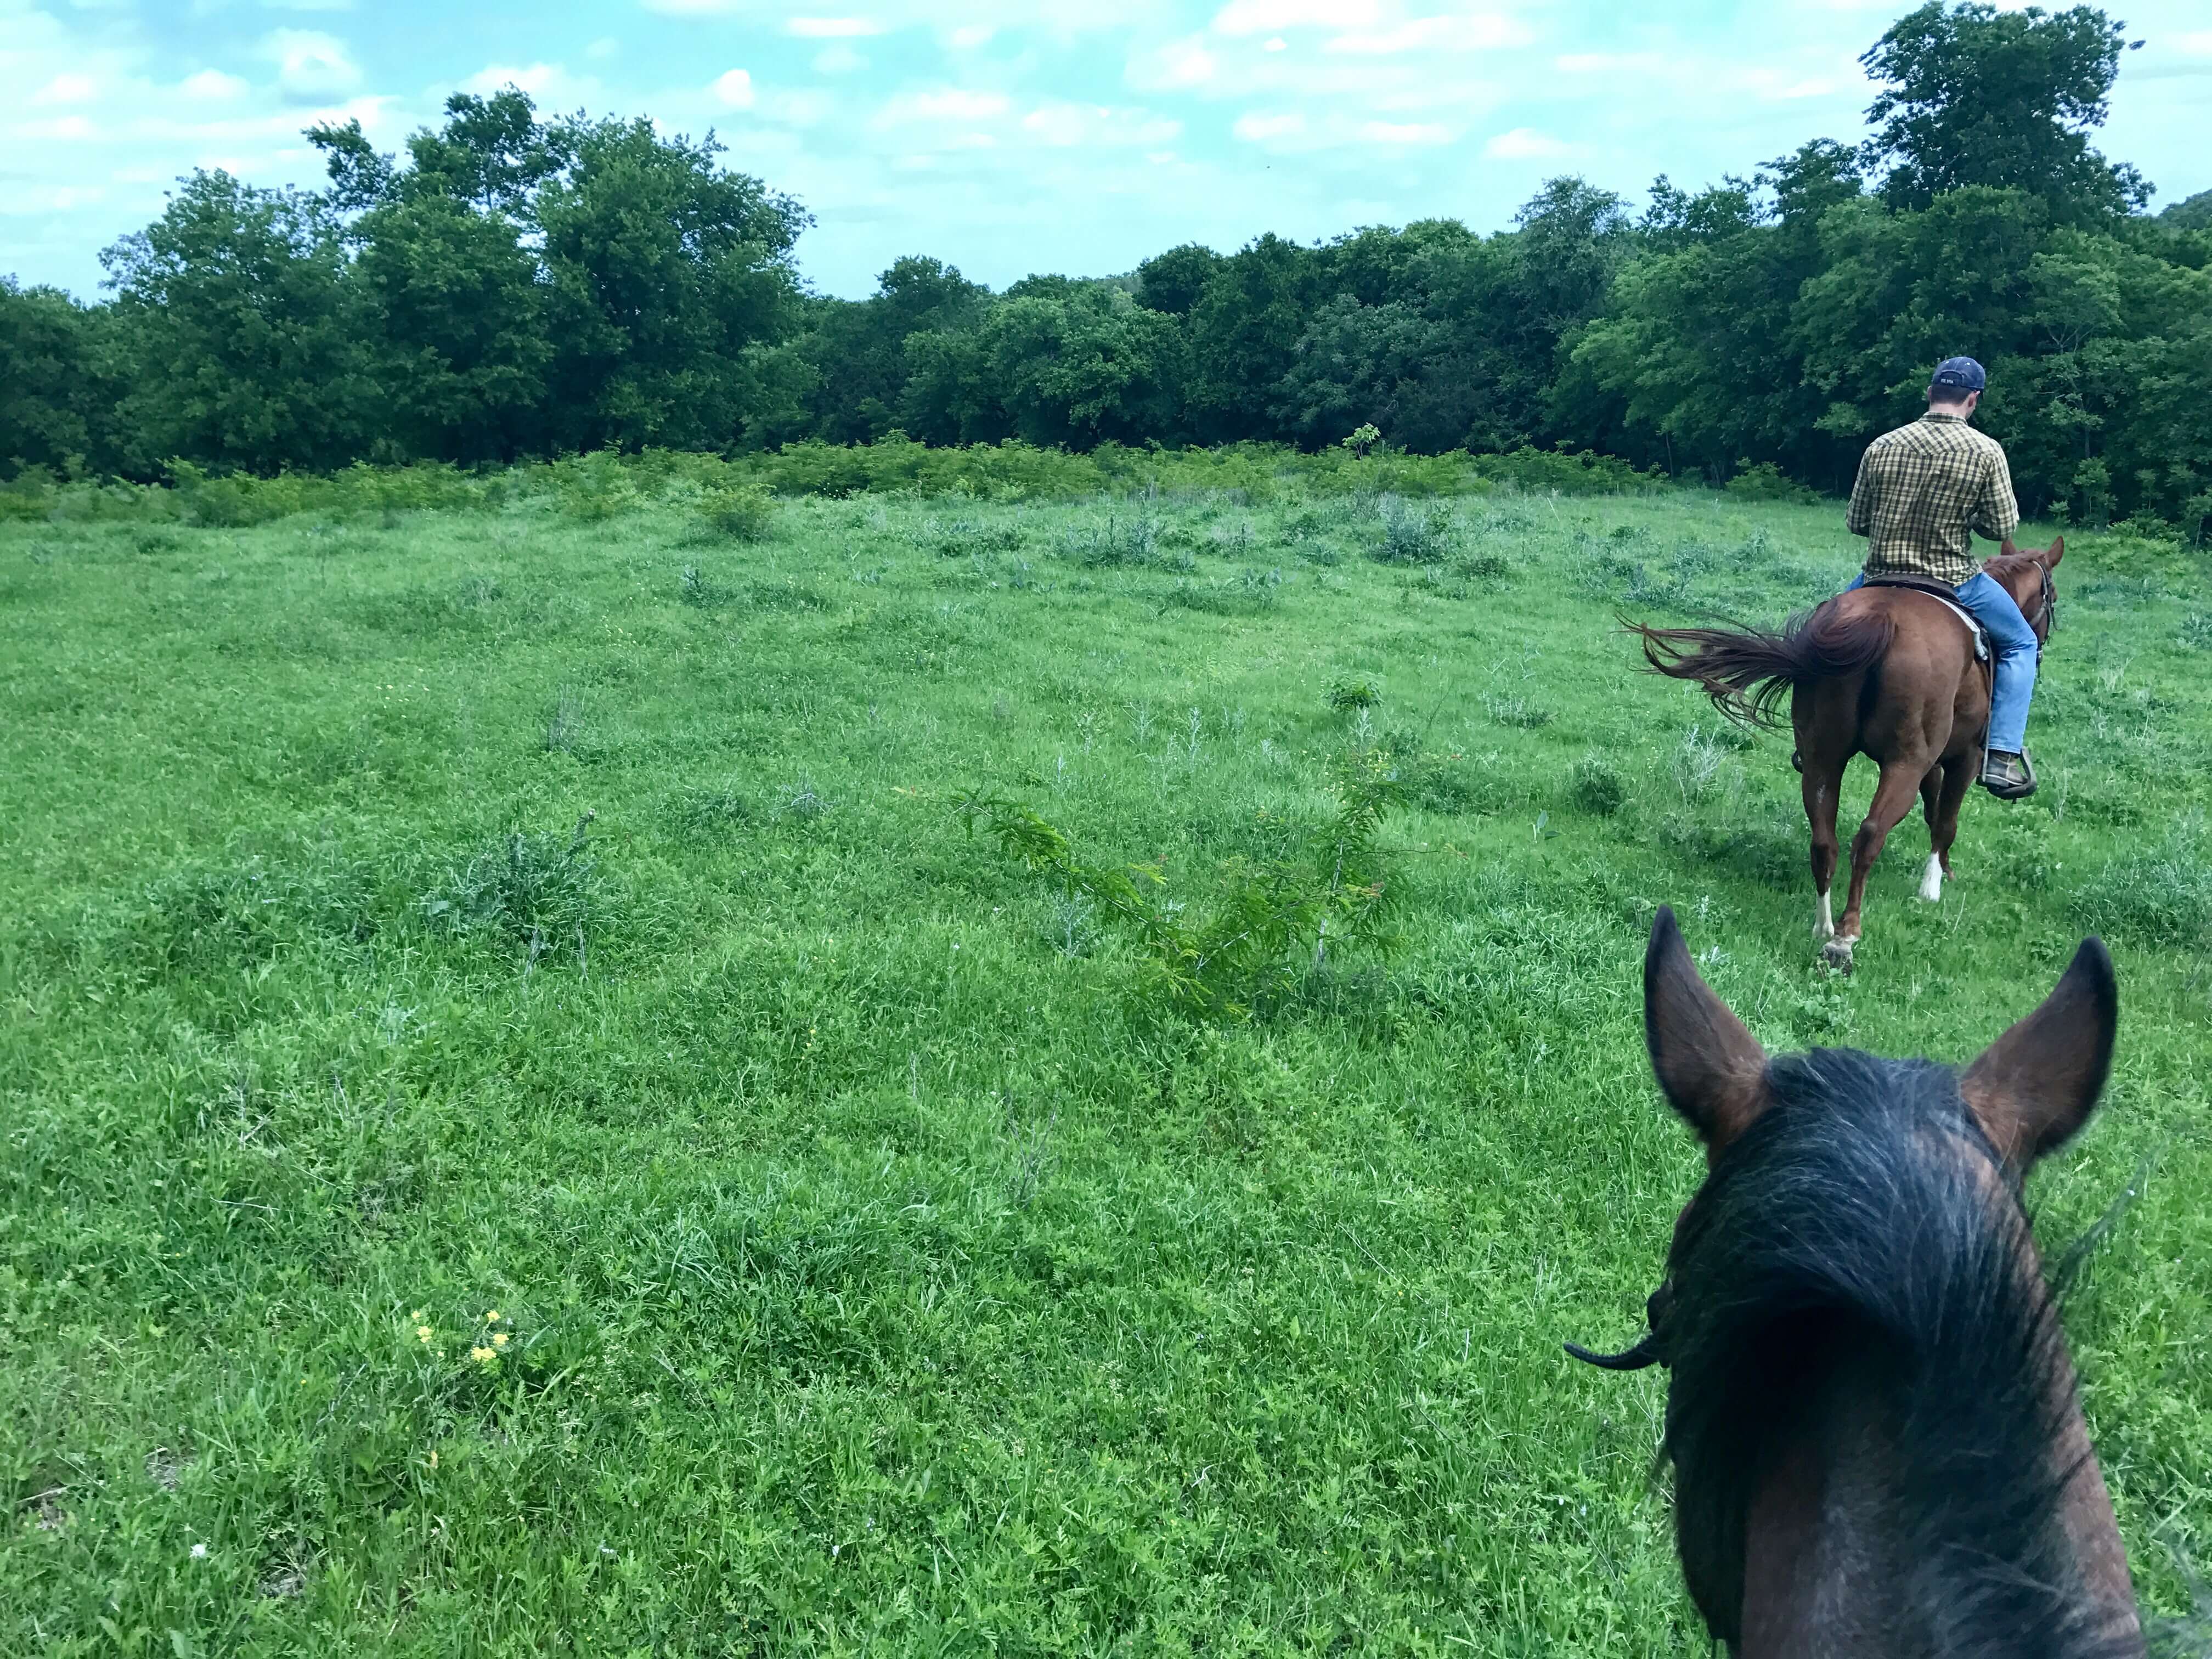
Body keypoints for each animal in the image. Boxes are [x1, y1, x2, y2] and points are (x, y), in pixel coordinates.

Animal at [1628, 539, 2052, 969]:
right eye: (2050, 595)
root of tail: (1880, 619)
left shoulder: (1931, 764)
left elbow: (1933, 811)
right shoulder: (1963, 757)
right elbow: (1946, 820)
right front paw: (1933, 886)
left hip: (1822, 758)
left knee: (1823, 841)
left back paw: (1823, 925)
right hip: (1904, 763)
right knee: (1869, 836)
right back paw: (1846, 935)